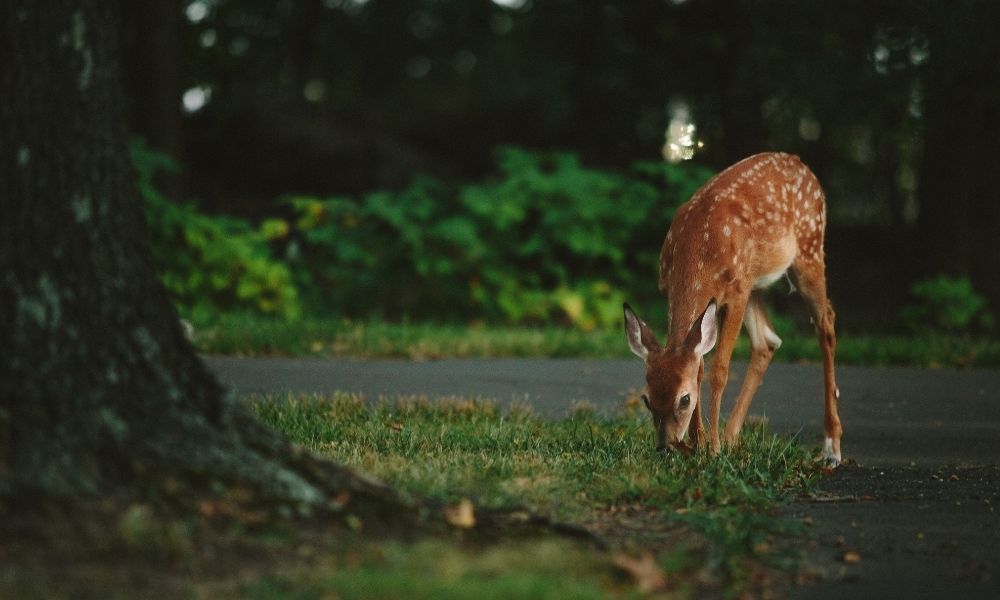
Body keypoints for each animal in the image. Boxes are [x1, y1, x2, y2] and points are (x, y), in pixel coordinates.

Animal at [623, 152, 842, 466]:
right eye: (647, 399)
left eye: (684, 399)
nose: (666, 446)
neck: (698, 253)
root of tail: (800, 163)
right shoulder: (679, 290)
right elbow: (699, 365)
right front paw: (699, 444)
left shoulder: (736, 293)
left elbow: (719, 370)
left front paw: (711, 448)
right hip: (756, 282)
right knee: (768, 341)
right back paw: (731, 437)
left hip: (808, 249)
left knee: (826, 323)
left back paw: (832, 447)